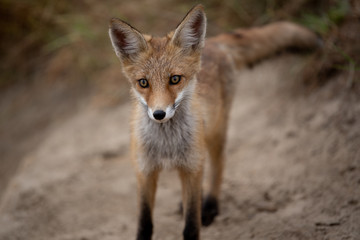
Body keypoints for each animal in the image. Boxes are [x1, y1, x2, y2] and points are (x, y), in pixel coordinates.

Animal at [108, 4, 320, 240]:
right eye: (143, 83)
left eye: (175, 79)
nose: (159, 114)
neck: (167, 145)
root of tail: (214, 42)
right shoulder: (145, 171)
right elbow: (145, 224)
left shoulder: (191, 166)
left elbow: (192, 225)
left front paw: (199, 213)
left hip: (215, 133)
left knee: (218, 165)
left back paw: (210, 205)